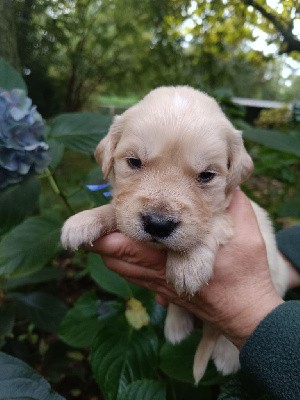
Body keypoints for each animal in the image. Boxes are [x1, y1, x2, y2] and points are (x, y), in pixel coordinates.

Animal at [60, 86, 288, 382]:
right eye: (134, 162)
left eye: (206, 175)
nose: (158, 224)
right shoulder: (127, 205)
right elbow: (118, 208)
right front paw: (84, 220)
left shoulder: (231, 214)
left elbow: (214, 222)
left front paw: (187, 264)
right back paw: (176, 326)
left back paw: (226, 356)